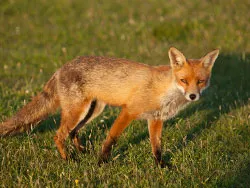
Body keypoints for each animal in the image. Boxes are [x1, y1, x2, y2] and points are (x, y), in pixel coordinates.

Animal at [0, 47, 219, 167]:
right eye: (184, 80)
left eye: (200, 81)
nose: (193, 96)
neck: (165, 92)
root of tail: (61, 67)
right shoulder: (128, 111)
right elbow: (111, 138)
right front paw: (102, 162)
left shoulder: (155, 119)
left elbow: (156, 147)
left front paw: (162, 166)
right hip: (78, 111)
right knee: (58, 135)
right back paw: (68, 159)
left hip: (93, 111)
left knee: (73, 132)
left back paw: (81, 151)